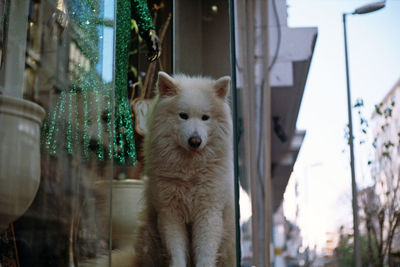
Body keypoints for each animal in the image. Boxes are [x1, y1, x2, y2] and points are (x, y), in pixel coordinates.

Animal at [130, 71, 236, 267]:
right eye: (183, 116)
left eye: (205, 117)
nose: (195, 141)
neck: (189, 170)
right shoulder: (170, 213)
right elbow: (176, 252)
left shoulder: (208, 212)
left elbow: (205, 253)